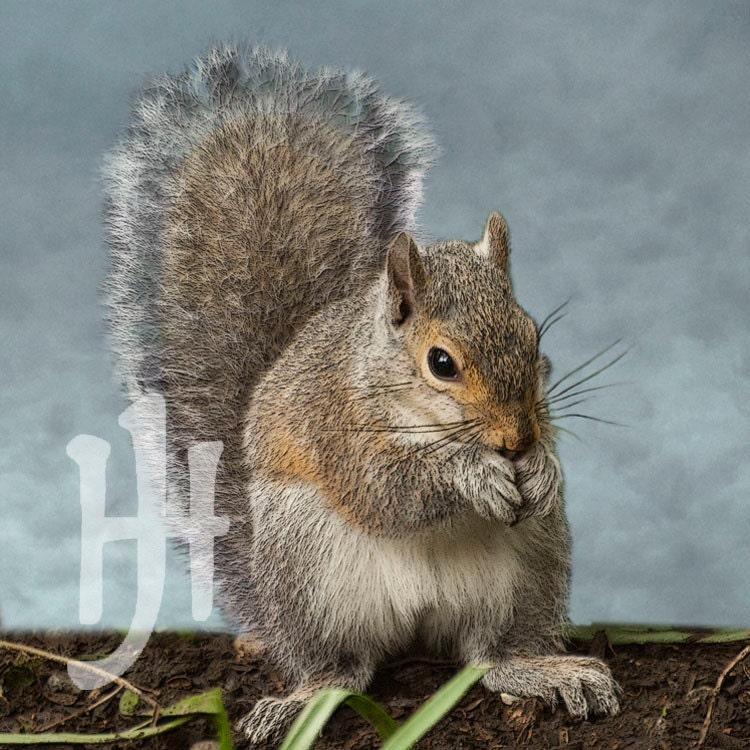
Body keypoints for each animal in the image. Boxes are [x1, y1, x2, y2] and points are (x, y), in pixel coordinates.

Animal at [103, 43, 621, 744]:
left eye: (534, 337)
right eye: (441, 362)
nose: (517, 441)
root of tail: (419, 622)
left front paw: (544, 469)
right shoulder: (336, 432)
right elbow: (388, 491)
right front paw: (469, 474)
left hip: (528, 566)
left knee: (491, 656)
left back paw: (543, 670)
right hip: (310, 571)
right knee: (342, 668)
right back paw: (303, 700)